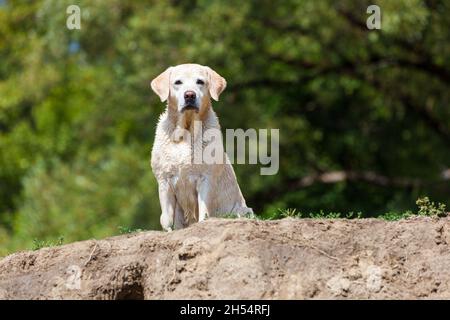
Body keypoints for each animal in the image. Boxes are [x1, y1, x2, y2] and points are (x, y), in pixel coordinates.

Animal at [149, 63, 251, 231]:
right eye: (178, 82)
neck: (186, 131)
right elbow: (167, 219)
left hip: (243, 211)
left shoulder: (205, 179)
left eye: (200, 82)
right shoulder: (164, 181)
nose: (189, 95)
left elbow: (204, 212)